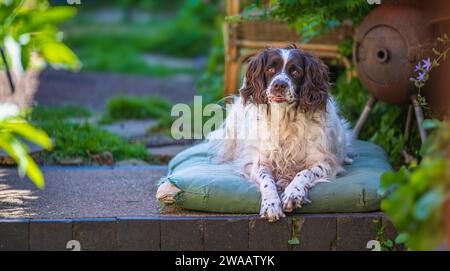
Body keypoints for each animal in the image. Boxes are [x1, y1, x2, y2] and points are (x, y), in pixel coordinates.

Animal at [159, 45, 356, 223]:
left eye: (295, 71)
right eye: (270, 69)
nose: (279, 84)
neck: (284, 120)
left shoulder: (325, 161)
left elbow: (304, 173)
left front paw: (293, 193)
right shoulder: (259, 162)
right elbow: (266, 180)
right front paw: (271, 204)